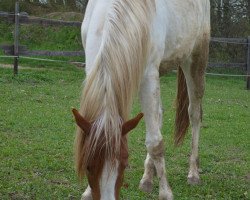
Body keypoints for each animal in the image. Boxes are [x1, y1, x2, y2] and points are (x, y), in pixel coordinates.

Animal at [72, 0, 209, 200]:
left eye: (124, 164)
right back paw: (147, 178)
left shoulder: (148, 75)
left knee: (194, 114)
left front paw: (165, 193)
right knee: (159, 115)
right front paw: (88, 192)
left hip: (195, 58)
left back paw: (193, 173)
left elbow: (155, 143)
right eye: (88, 166)